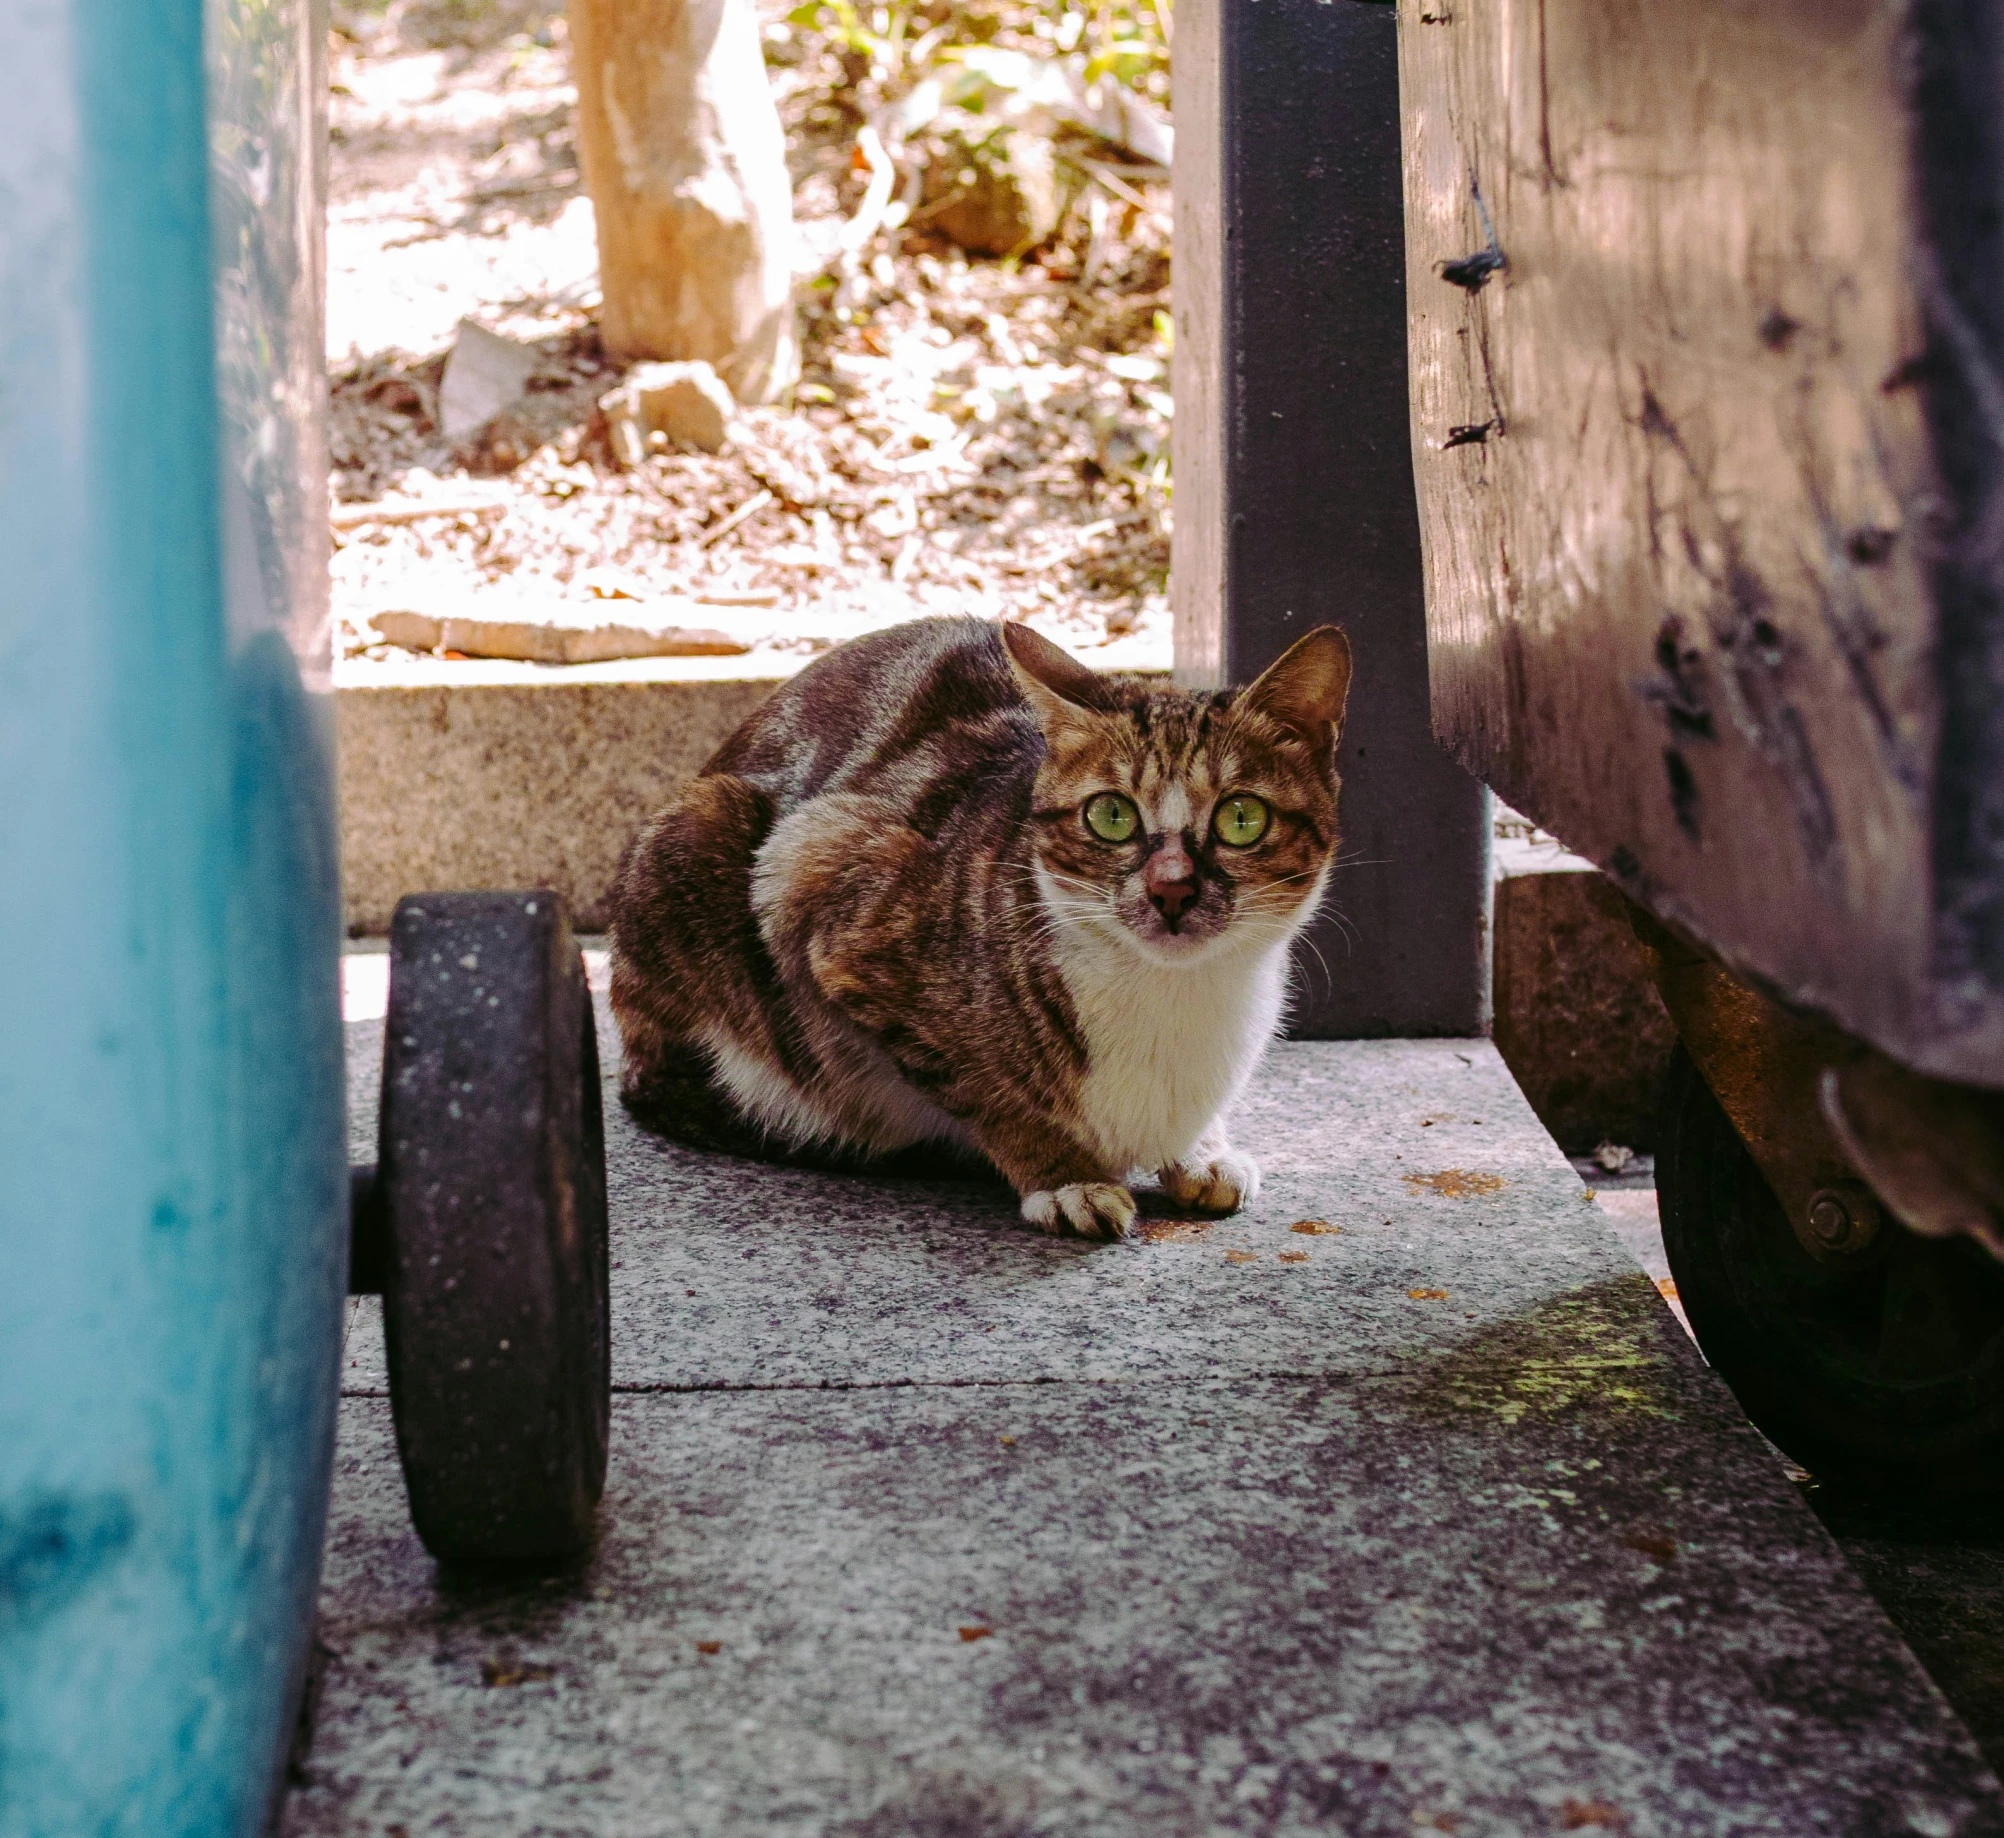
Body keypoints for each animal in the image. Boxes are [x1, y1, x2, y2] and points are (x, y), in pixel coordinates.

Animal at [609, 609, 1354, 1242]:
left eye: (1241, 818)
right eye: (1110, 815)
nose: (1171, 888)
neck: (1176, 999)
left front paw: (1203, 1150)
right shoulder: (821, 885)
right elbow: (983, 1087)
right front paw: (1066, 1176)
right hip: (704, 837)